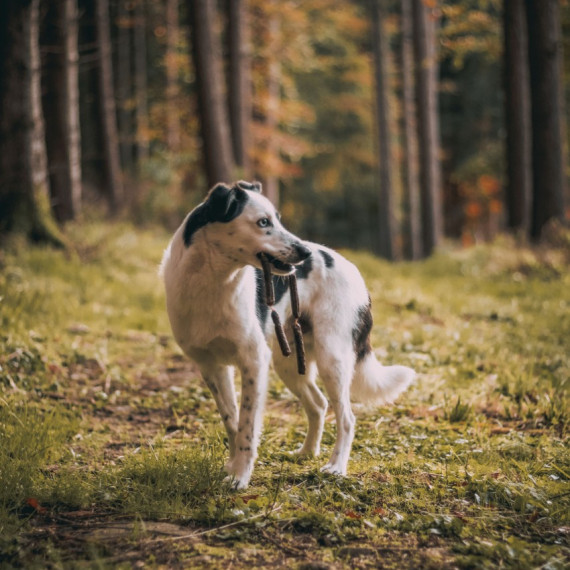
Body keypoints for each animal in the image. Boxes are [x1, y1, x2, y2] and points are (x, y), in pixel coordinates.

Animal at [160, 180, 412, 486]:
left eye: (278, 219)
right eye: (263, 222)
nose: (305, 253)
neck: (212, 282)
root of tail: (354, 271)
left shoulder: (254, 361)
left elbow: (247, 424)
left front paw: (240, 476)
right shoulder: (211, 366)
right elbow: (232, 420)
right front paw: (232, 466)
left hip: (332, 357)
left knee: (347, 418)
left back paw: (336, 466)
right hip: (289, 361)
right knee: (318, 404)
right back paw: (306, 452)